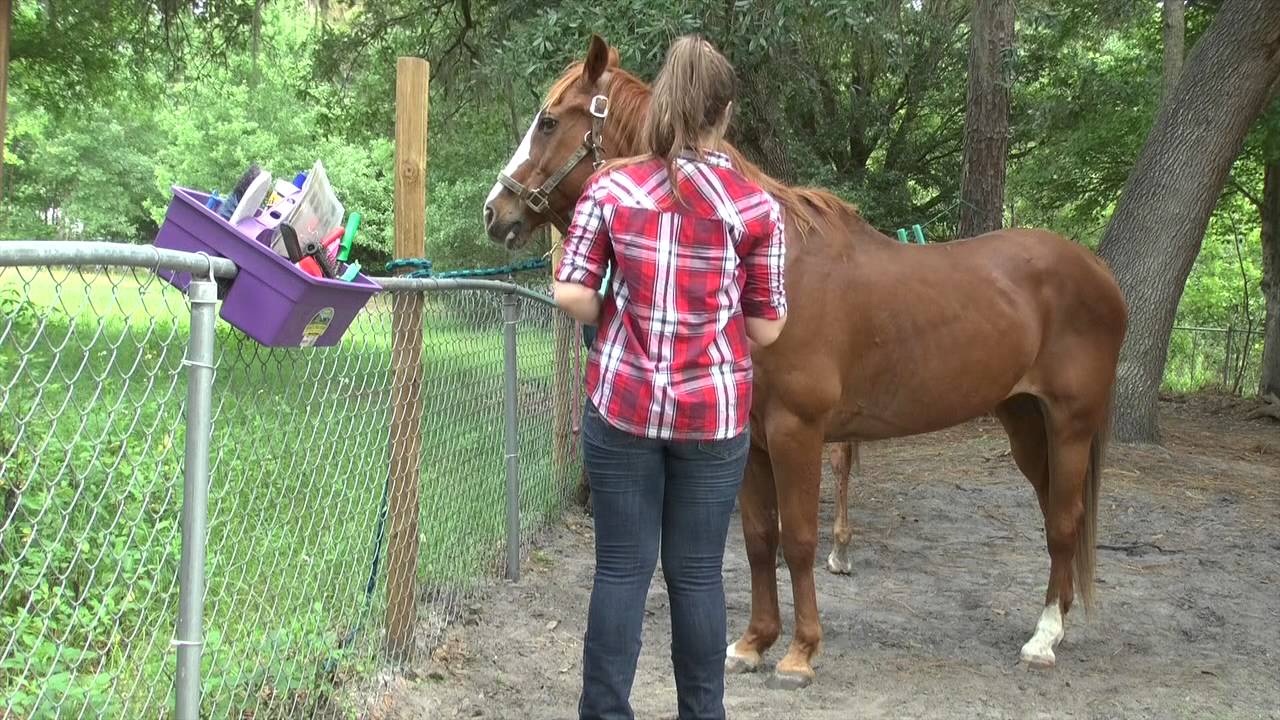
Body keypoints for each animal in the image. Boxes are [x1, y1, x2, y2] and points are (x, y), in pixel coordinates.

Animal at [483, 35, 1128, 688]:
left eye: (547, 121)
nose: (494, 210)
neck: (772, 262)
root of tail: (1098, 272)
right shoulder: (749, 439)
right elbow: (758, 538)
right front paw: (753, 642)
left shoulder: (798, 431)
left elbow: (797, 539)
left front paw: (800, 652)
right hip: (1023, 419)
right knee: (1056, 513)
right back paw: (1056, 622)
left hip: (1069, 424)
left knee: (1064, 519)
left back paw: (1043, 638)